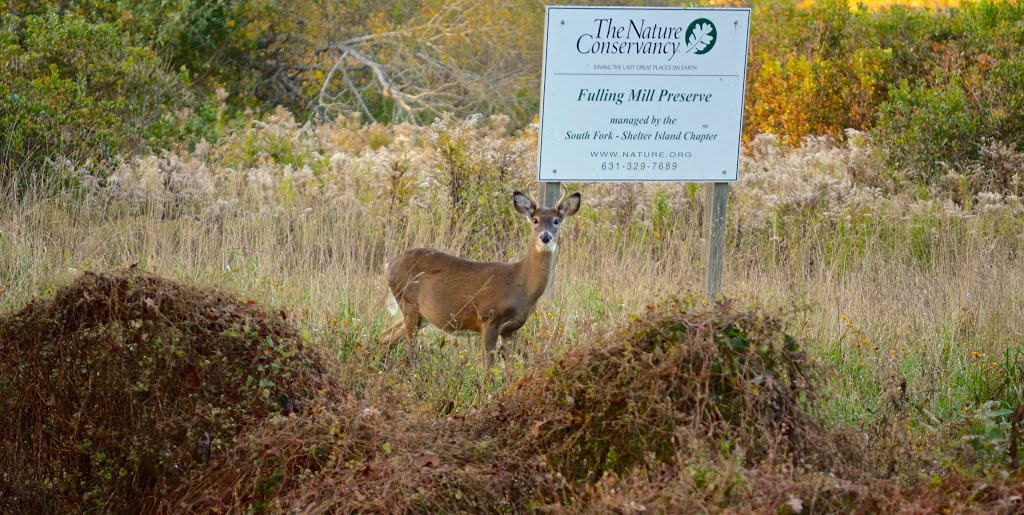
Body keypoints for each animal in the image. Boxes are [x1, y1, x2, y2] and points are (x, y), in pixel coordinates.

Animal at [378, 189, 585, 370]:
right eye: (535, 220)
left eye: (557, 221)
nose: (545, 237)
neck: (520, 284)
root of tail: (389, 265)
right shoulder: (489, 318)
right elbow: (488, 369)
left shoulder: (511, 329)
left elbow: (509, 367)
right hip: (409, 304)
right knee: (408, 348)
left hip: (418, 314)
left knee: (385, 337)